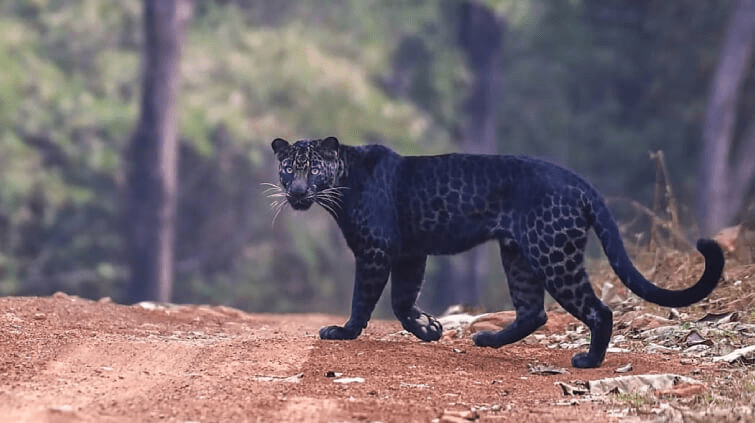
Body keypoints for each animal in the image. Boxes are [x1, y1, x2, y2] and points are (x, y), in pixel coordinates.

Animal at [272, 137, 728, 368]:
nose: (297, 192)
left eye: (313, 168)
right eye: (288, 169)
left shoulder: (376, 250)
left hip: (551, 252)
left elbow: (365, 298)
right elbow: (402, 300)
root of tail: (578, 180)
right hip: (518, 255)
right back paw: (489, 340)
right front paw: (429, 329)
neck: (343, 182)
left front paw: (343, 331)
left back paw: (589, 361)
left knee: (598, 310)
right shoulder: (409, 253)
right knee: (533, 311)